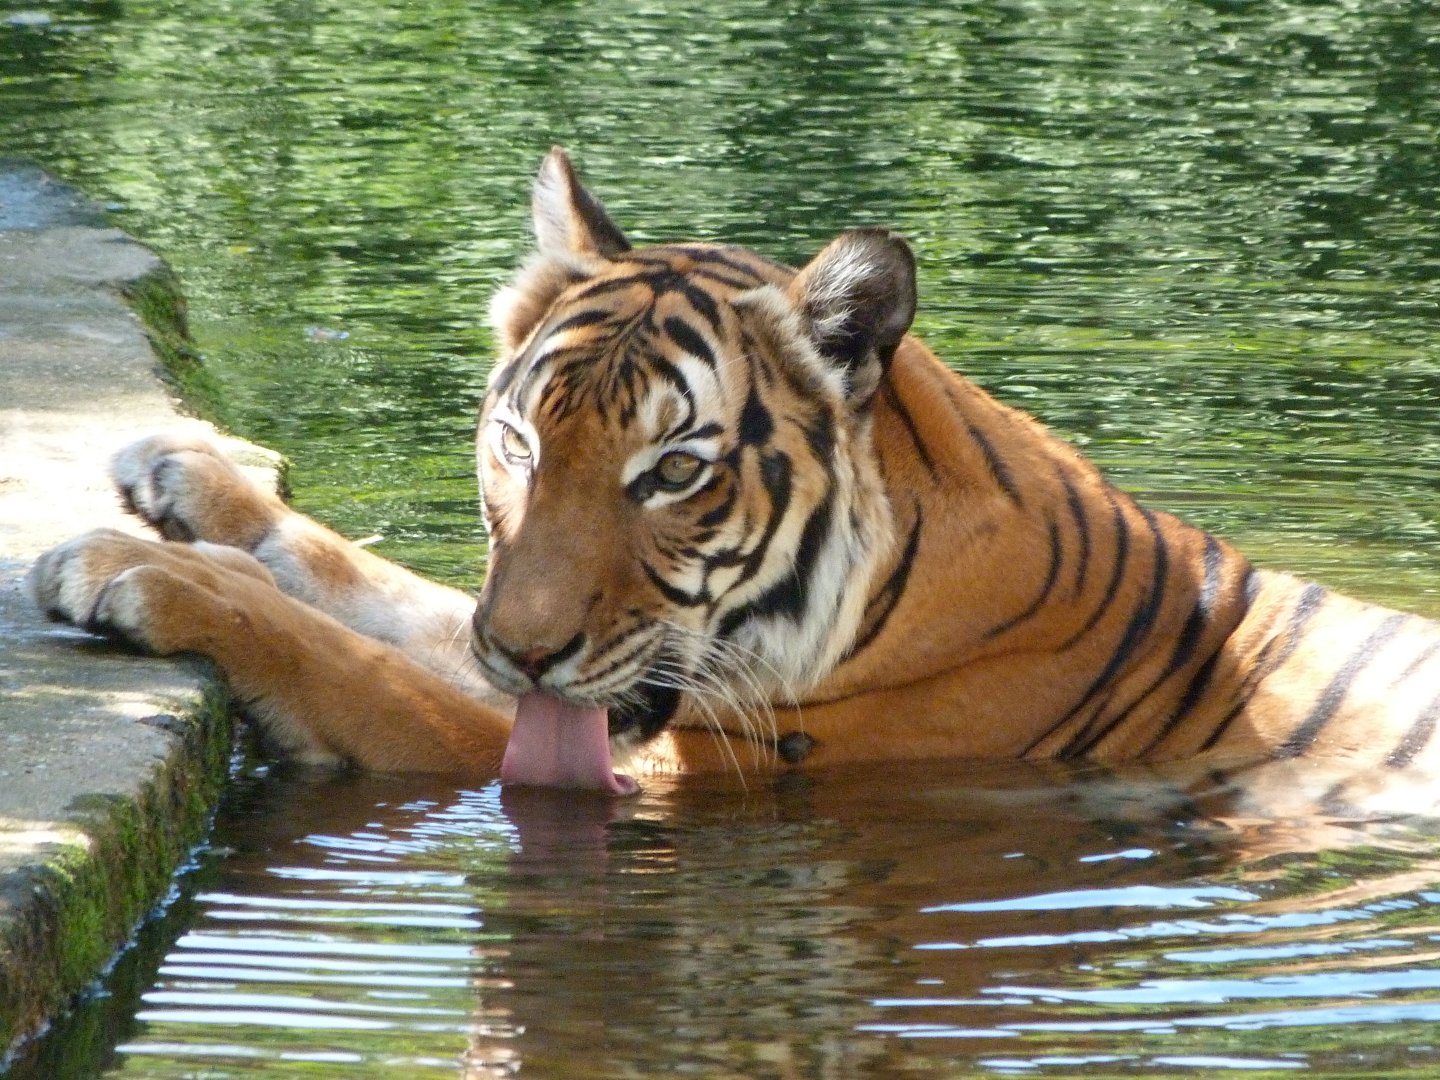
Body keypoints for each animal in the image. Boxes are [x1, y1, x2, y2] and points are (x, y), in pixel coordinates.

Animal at [28, 147, 1440, 805]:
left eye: (674, 471)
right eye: (521, 445)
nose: (525, 651)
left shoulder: (635, 759)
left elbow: (356, 666)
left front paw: (132, 569)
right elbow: (386, 592)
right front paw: (187, 479)